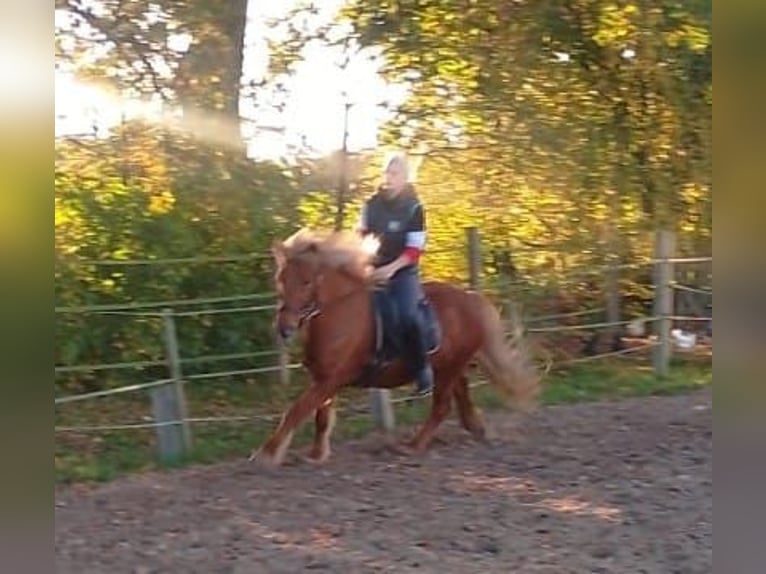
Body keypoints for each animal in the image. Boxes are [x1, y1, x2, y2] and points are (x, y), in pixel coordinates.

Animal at [252, 230, 540, 468]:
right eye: (281, 279)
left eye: (307, 282)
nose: (285, 327)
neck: (341, 312)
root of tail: (472, 299)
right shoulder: (323, 378)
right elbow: (320, 416)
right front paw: (315, 454)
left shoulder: (332, 379)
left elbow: (296, 411)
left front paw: (267, 453)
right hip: (449, 365)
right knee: (460, 395)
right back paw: (477, 429)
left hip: (450, 367)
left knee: (441, 406)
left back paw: (413, 446)